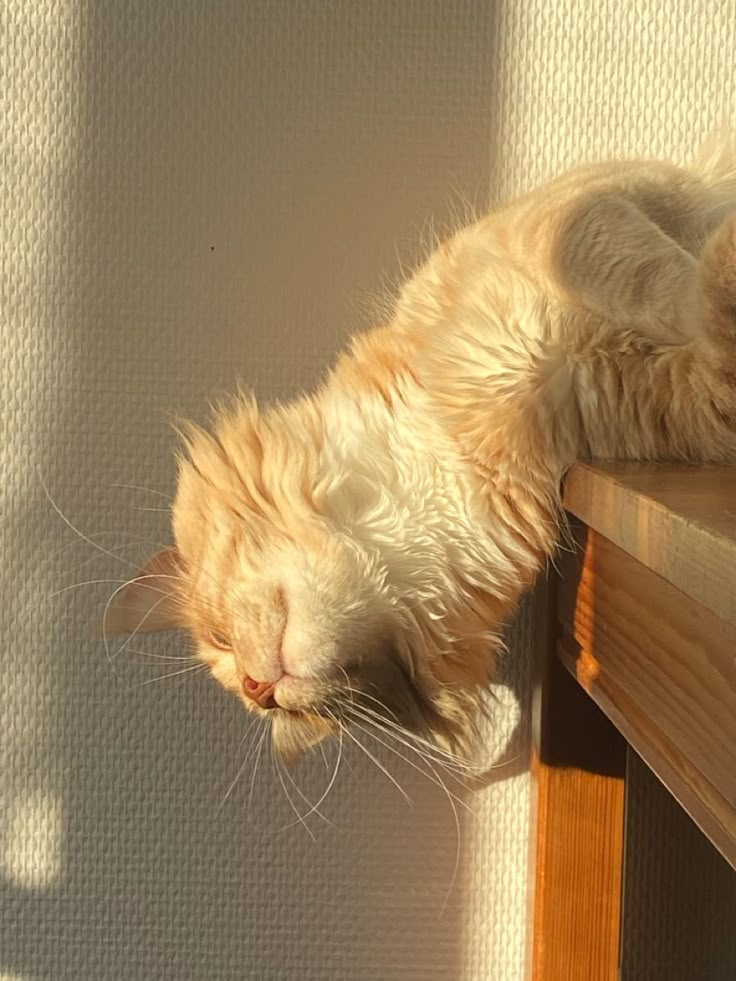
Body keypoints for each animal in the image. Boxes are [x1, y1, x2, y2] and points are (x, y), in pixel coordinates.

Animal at [108, 142, 736, 760]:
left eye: (219, 639)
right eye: (284, 713)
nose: (257, 689)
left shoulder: (580, 214)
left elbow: (660, 278)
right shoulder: (686, 404)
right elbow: (704, 318)